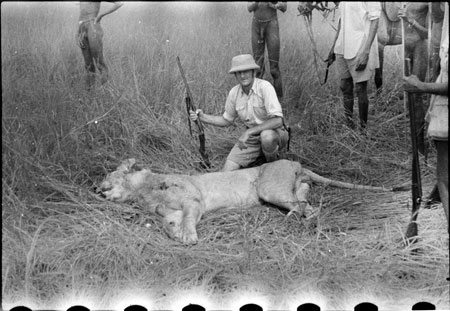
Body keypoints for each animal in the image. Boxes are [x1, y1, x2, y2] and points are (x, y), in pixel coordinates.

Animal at [99, 160, 390, 245]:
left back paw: (289, 220)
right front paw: (177, 234)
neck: (145, 190)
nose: (96, 188)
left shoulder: (194, 200)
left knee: (305, 208)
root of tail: (297, 162)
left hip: (269, 188)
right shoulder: (169, 212)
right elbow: (168, 222)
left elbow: (190, 217)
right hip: (297, 188)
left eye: (109, 176)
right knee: (308, 206)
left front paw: (189, 237)